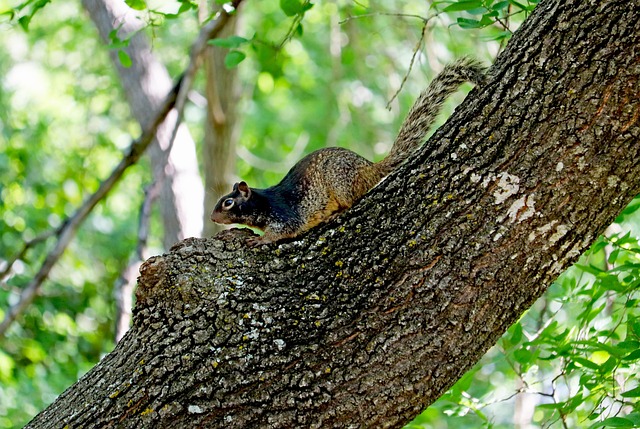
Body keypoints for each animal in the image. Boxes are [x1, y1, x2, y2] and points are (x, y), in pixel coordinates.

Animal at [211, 57, 486, 247]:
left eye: (228, 202)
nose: (213, 218)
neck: (262, 202)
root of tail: (370, 169)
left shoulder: (283, 214)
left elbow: (282, 230)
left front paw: (259, 239)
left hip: (341, 181)